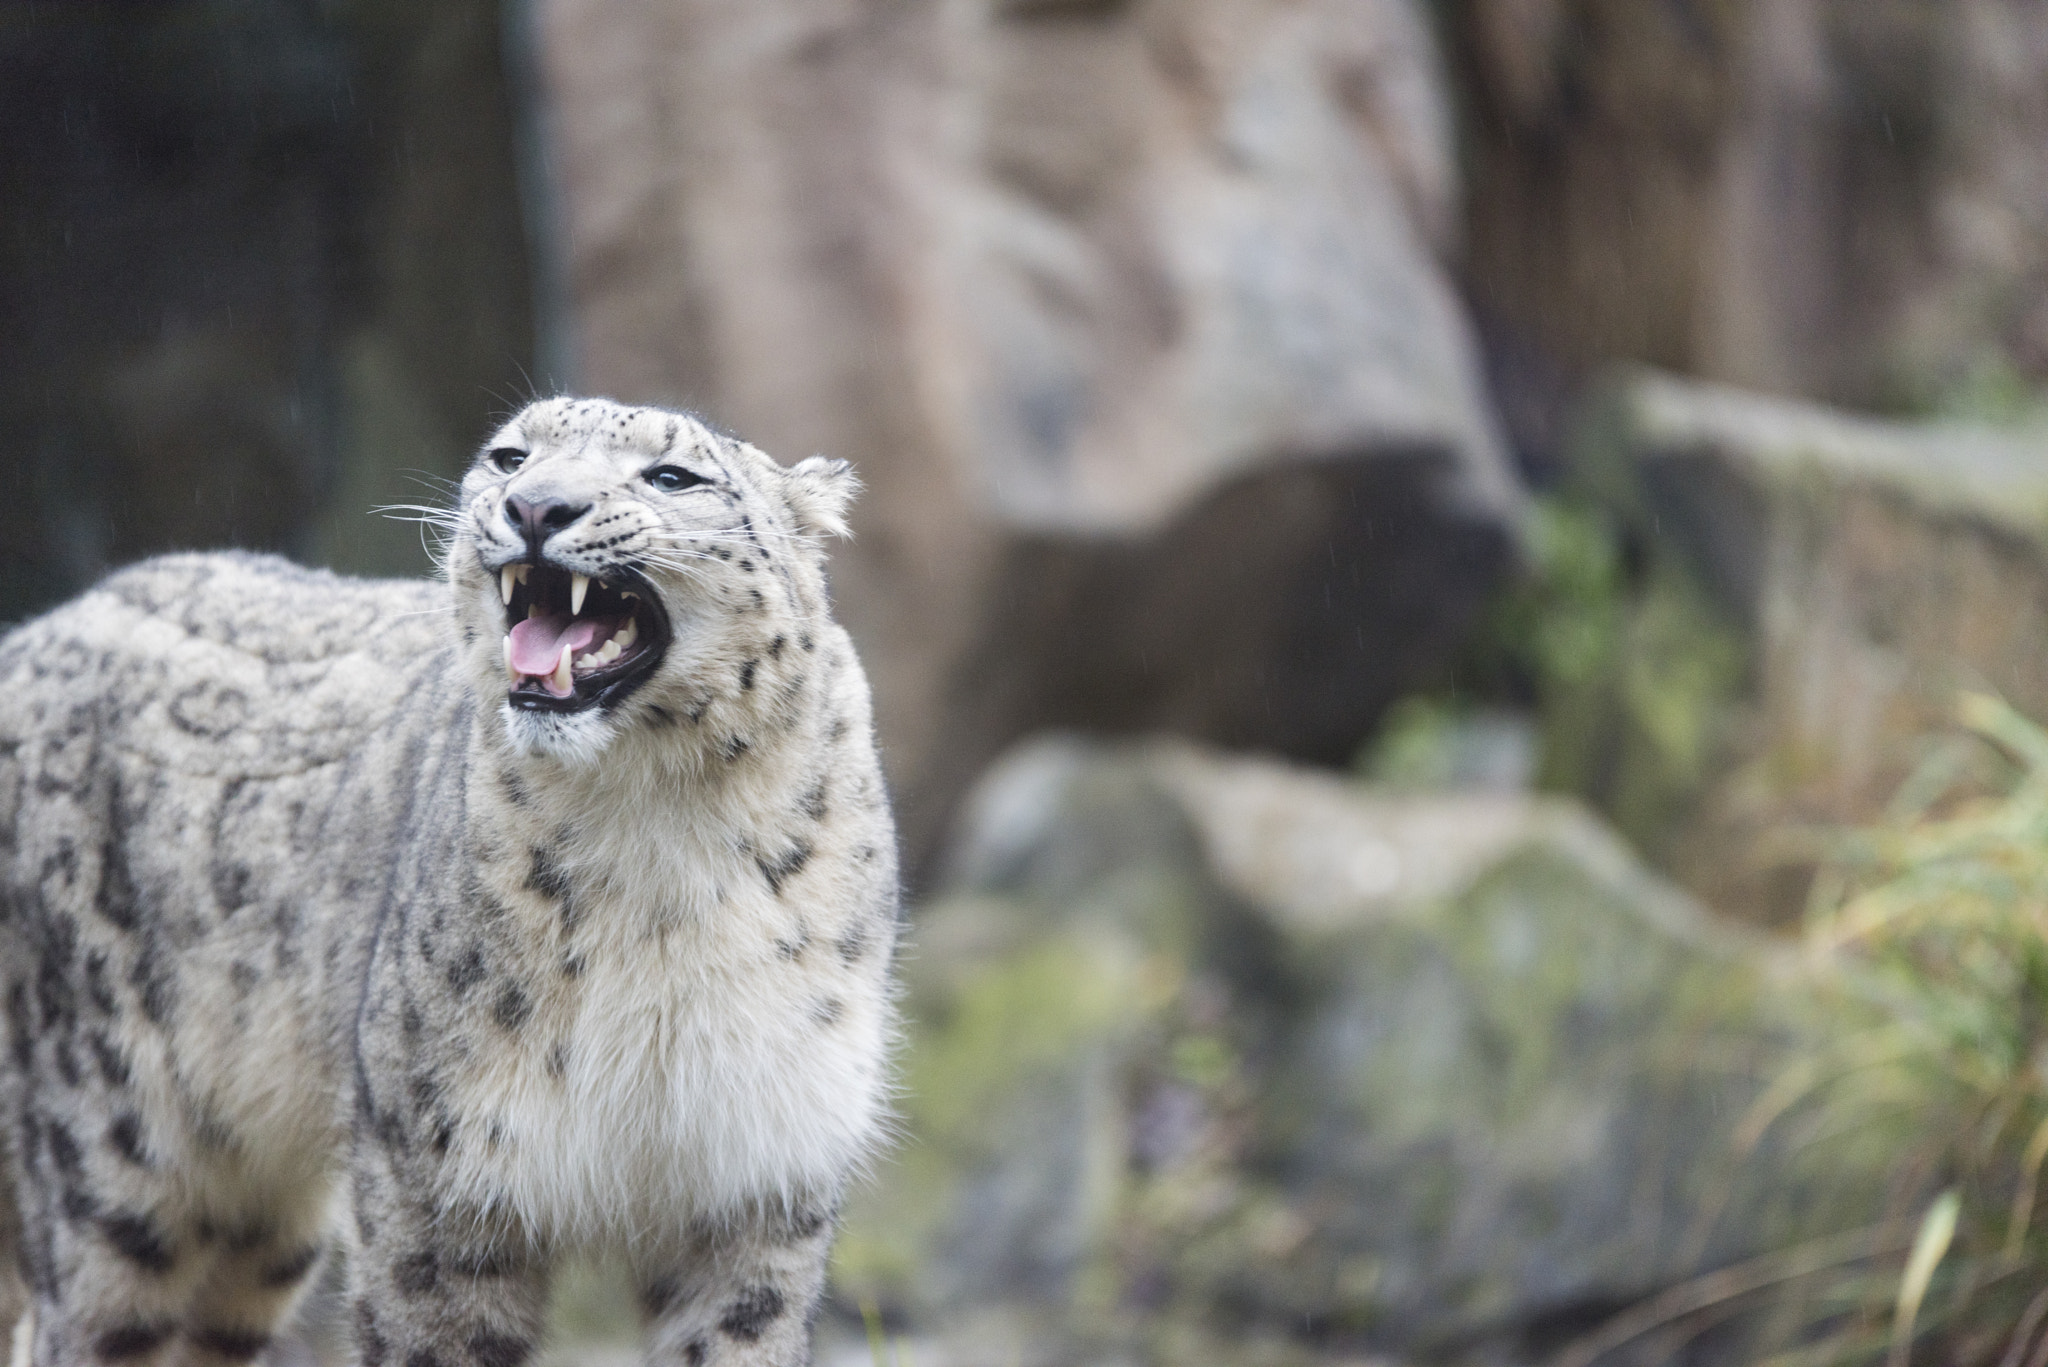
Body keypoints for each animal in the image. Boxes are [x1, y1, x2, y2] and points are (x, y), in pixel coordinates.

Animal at [0, 397, 901, 1366]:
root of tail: (34, 632)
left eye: (672, 476)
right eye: (511, 456)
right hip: (110, 1155)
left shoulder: (759, 1179)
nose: (537, 506)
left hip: (250, 1226)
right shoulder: (438, 1173)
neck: (661, 847)